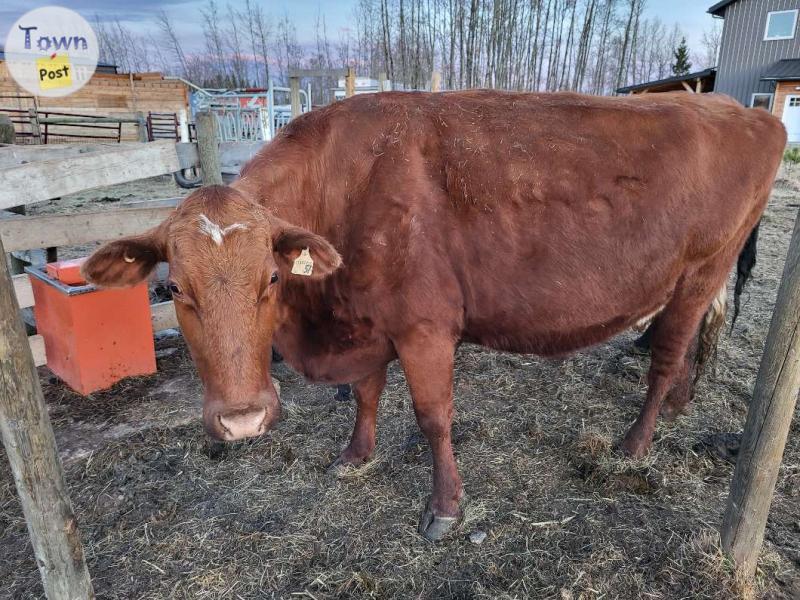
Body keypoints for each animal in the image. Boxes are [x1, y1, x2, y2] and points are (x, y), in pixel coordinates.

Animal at [84, 91, 784, 540]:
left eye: (273, 278)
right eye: (174, 289)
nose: (243, 419)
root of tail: (739, 109)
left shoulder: (425, 326)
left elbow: (433, 418)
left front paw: (445, 508)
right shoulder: (365, 320)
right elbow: (365, 393)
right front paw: (355, 455)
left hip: (700, 271)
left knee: (666, 354)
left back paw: (634, 445)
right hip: (702, 281)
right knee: (692, 343)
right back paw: (678, 408)